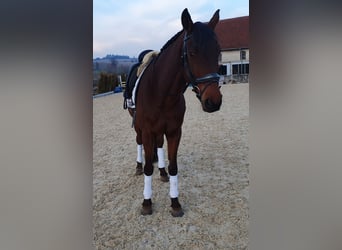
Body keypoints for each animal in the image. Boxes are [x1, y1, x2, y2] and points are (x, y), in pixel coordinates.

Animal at [131, 8, 222, 217]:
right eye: (192, 52)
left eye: (218, 52)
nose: (213, 101)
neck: (160, 91)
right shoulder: (147, 131)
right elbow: (148, 168)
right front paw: (147, 202)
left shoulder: (174, 132)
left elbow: (173, 166)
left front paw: (175, 202)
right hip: (138, 127)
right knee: (139, 145)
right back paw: (138, 166)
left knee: (158, 146)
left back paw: (162, 172)